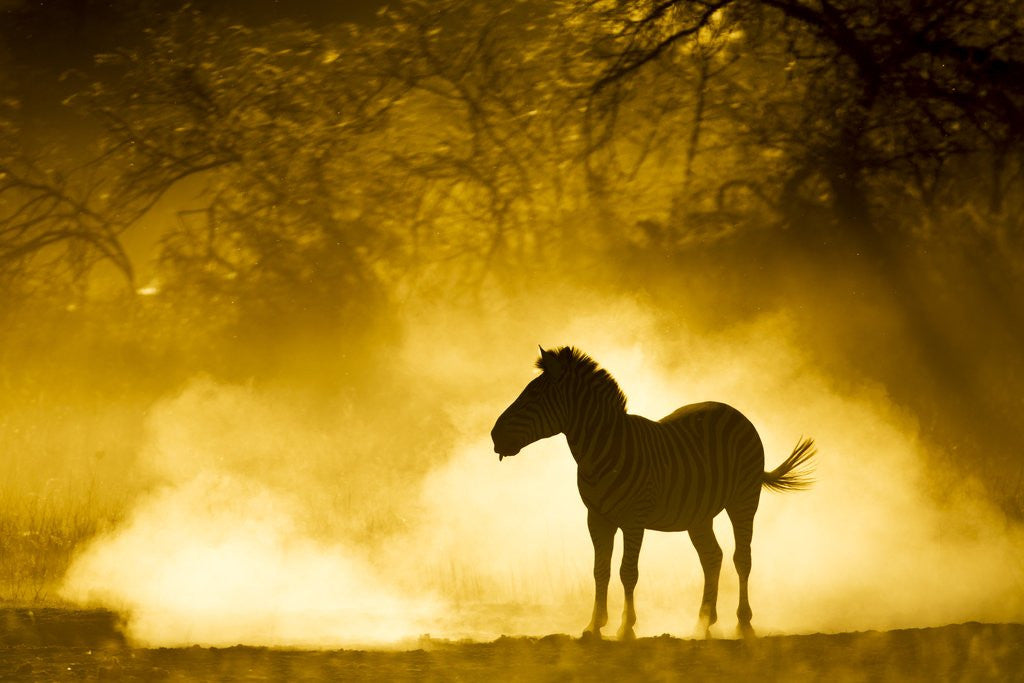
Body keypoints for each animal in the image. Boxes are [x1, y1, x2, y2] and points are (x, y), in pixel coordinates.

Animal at [490, 346, 815, 640]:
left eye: (533, 395)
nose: (494, 436)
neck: (604, 450)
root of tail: (733, 411)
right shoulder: (596, 518)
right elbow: (600, 570)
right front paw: (594, 626)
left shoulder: (634, 519)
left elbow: (627, 572)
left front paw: (626, 627)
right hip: (698, 514)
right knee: (712, 557)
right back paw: (703, 623)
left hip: (744, 499)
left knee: (742, 558)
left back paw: (743, 623)